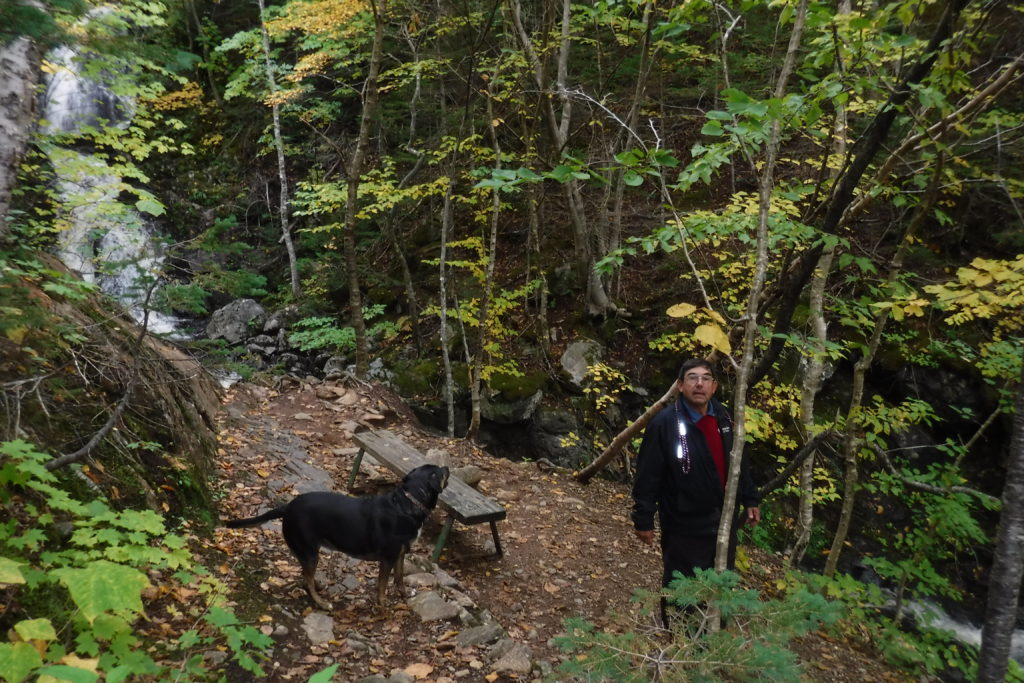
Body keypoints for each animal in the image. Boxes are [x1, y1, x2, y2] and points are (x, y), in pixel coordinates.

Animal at [224, 464, 448, 610]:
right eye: (440, 471)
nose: (447, 466)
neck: (408, 502)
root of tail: (287, 507)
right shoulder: (387, 558)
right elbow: (383, 585)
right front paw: (383, 604)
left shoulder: (400, 554)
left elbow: (400, 577)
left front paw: (404, 595)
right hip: (309, 551)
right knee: (306, 581)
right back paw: (322, 603)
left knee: (306, 577)